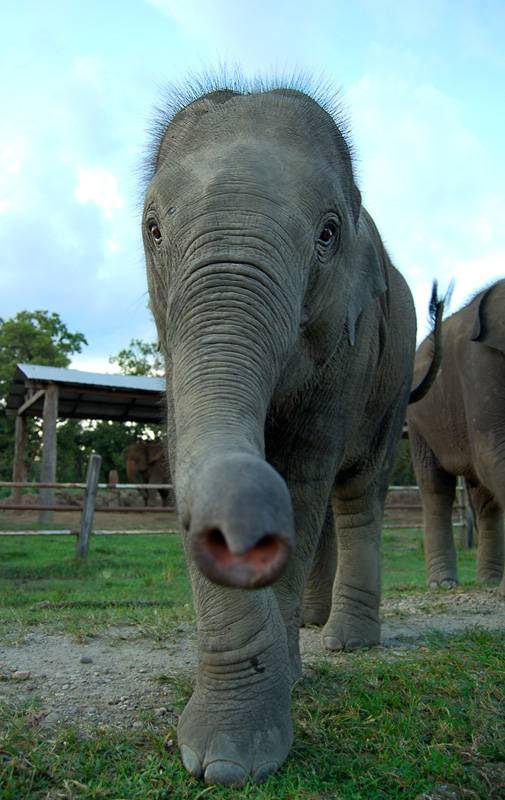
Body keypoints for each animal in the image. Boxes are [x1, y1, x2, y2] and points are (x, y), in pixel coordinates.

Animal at [142, 83, 440, 788]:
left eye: (328, 235)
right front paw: (227, 754)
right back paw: (309, 627)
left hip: (393, 384)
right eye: (154, 230)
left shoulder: (350, 347)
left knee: (354, 492)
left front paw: (242, 751)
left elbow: (302, 476)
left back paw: (345, 641)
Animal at [406, 276, 504, 592]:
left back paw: (490, 581)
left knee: (485, 500)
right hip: (421, 424)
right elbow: (493, 452)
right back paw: (442, 584)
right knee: (436, 487)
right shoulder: (477, 363)